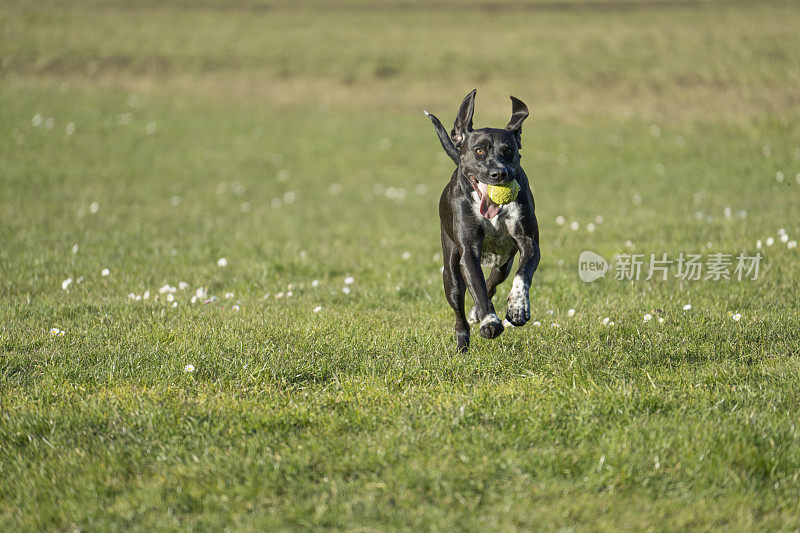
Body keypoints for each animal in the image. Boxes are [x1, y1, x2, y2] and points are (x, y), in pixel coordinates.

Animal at [424, 89, 536, 352]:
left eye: (509, 150)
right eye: (479, 150)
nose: (499, 173)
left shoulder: (528, 241)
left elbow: (523, 275)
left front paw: (518, 307)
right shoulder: (468, 252)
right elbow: (477, 287)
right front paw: (489, 321)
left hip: (502, 263)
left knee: (494, 280)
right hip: (451, 271)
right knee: (459, 309)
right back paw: (463, 345)